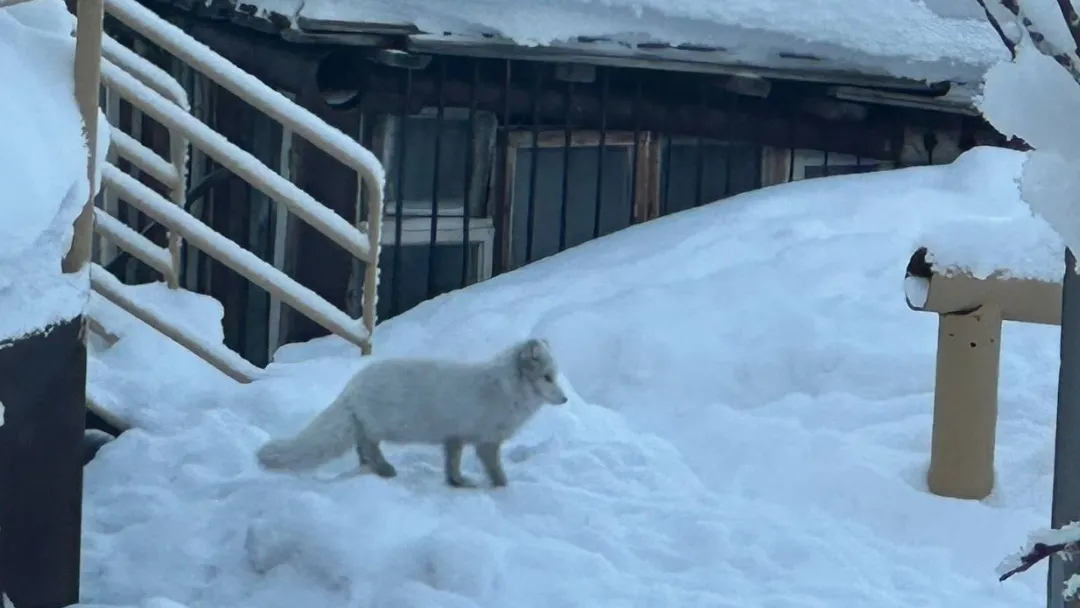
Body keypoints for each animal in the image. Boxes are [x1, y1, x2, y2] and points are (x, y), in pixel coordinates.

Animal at [257, 336, 570, 490]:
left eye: (555, 376)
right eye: (547, 377)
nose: (565, 399)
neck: (507, 388)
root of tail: (352, 386)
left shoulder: (454, 437)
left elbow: (452, 465)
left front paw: (457, 483)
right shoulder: (486, 442)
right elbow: (496, 471)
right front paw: (504, 489)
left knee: (361, 446)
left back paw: (373, 469)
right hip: (383, 426)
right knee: (368, 445)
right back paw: (384, 468)